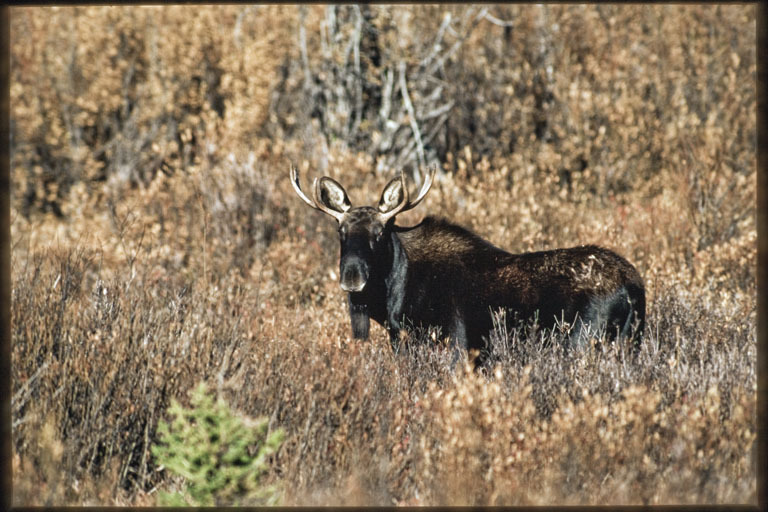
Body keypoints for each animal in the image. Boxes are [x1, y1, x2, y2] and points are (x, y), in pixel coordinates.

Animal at [292, 166, 644, 362]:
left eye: (379, 234)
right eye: (340, 232)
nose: (353, 277)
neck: (393, 296)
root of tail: (634, 287)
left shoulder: (453, 342)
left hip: (583, 341)